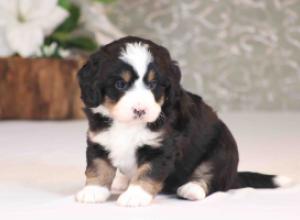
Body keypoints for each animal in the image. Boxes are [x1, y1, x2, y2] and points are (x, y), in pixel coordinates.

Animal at [75, 35, 290, 206]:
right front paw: (92, 191)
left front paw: (135, 196)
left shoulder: (161, 147)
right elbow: (98, 167)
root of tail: (233, 175)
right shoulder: (99, 141)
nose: (140, 110)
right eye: (120, 84)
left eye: (153, 84)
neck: (127, 125)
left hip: (221, 150)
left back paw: (191, 189)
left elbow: (148, 172)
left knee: (210, 176)